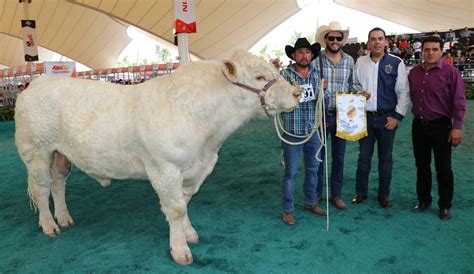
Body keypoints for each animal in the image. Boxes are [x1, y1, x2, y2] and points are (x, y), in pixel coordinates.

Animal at [14, 50, 300, 264]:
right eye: (259, 76)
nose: (297, 93)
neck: (208, 139)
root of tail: (38, 83)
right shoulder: (165, 168)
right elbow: (175, 208)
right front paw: (180, 250)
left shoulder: (193, 169)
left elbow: (185, 203)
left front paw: (189, 233)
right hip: (37, 153)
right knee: (41, 189)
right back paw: (49, 225)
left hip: (61, 155)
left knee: (58, 184)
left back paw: (64, 217)